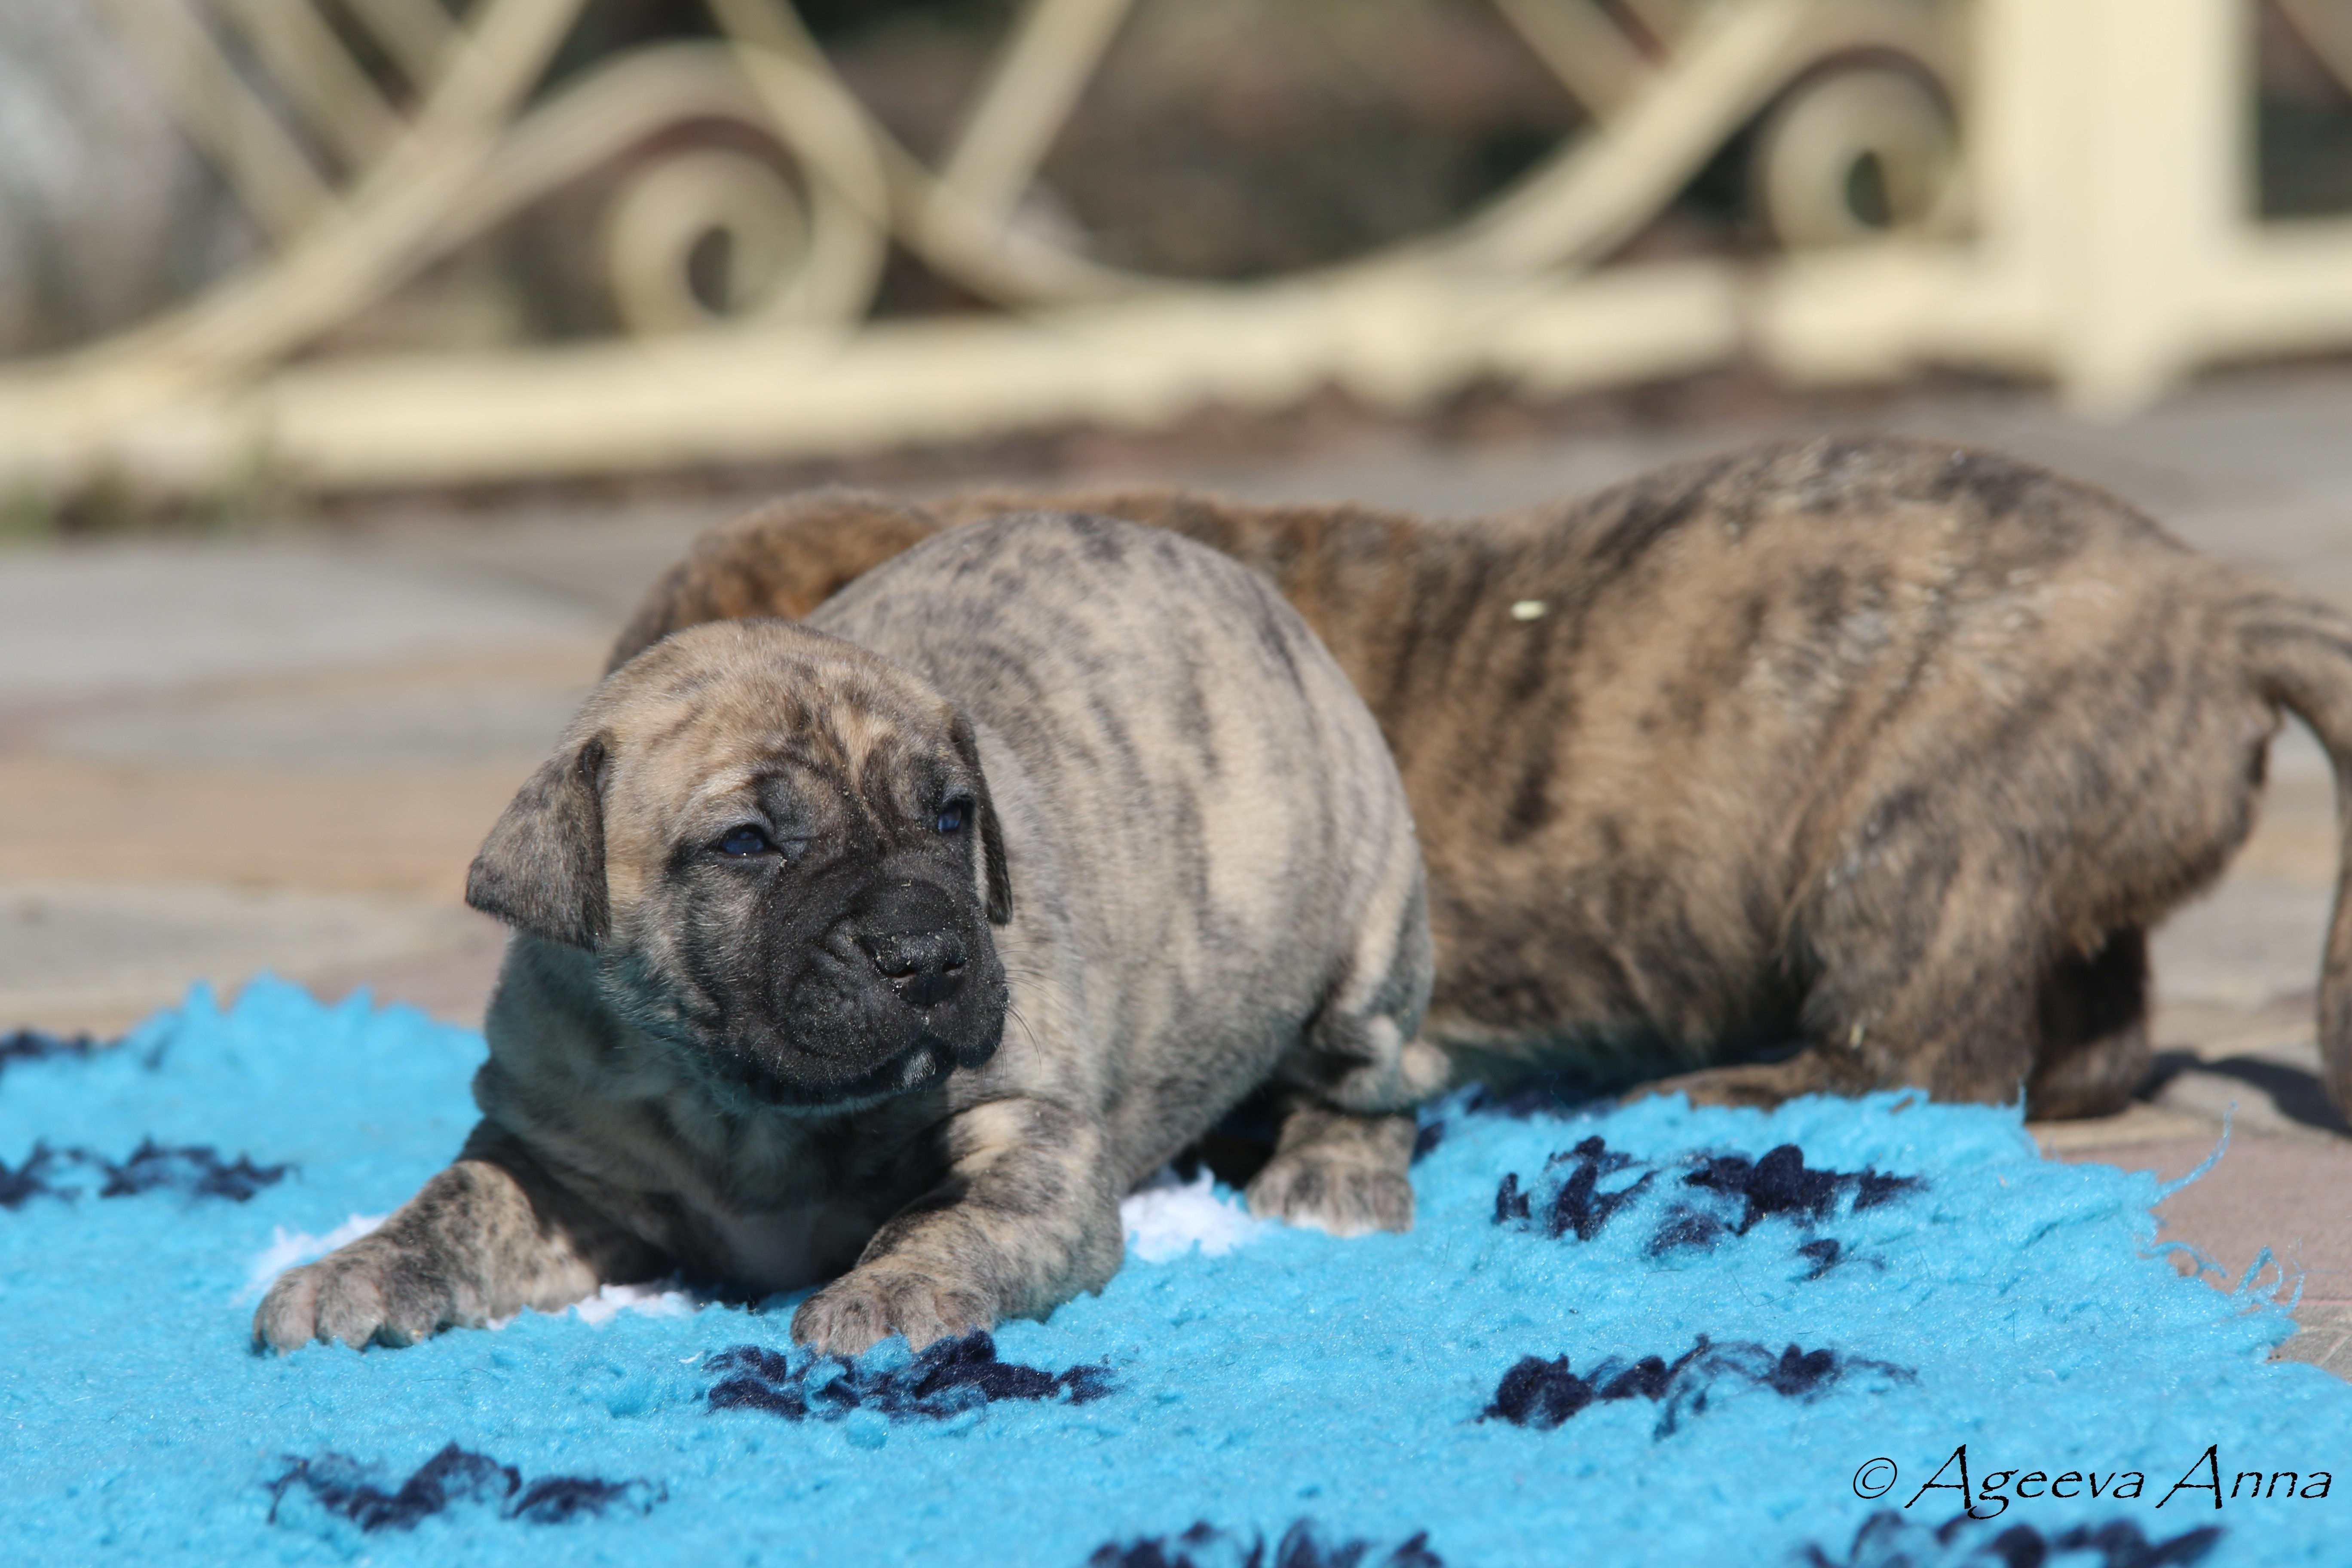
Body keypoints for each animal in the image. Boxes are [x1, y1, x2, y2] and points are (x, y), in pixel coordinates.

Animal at [253, 514, 1430, 1363]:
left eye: (952, 818)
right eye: (746, 844)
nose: (927, 955)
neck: (743, 1108)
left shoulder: (1028, 1131)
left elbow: (949, 1217)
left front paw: (891, 1287)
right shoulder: (553, 1158)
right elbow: (454, 1208)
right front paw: (352, 1269)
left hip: (1368, 918)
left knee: (1377, 1076)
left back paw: (1331, 1173)